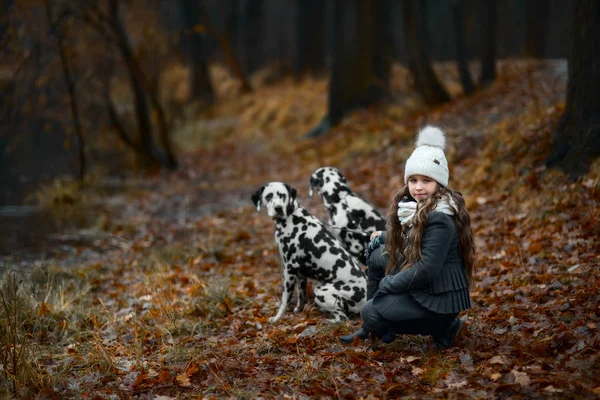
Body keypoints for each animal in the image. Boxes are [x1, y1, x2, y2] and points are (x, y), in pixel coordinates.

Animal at [252, 183, 368, 324]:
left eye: (283, 195)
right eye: (269, 196)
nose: (278, 208)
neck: (292, 217)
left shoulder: (289, 269)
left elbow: (285, 300)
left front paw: (277, 318)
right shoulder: (300, 275)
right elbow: (301, 296)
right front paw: (299, 311)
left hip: (321, 291)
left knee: (342, 317)